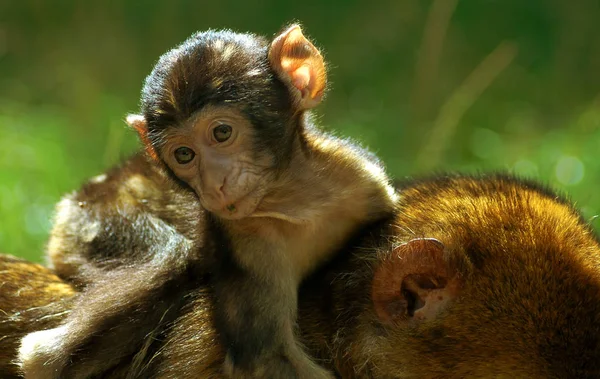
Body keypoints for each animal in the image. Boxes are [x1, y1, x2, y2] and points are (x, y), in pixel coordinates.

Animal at [17, 25, 398, 378]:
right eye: (184, 154)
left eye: (222, 132)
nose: (214, 185)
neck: (297, 202)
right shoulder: (245, 241)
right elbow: (265, 359)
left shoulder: (359, 177)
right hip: (93, 219)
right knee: (169, 259)